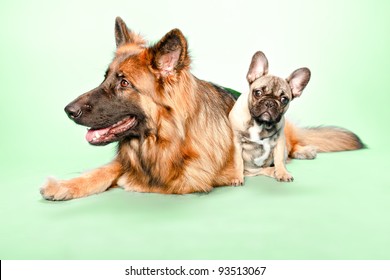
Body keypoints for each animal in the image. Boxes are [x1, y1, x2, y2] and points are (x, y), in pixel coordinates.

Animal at [39, 17, 362, 200]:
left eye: (124, 83)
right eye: (104, 77)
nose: (68, 110)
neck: (163, 140)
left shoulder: (190, 180)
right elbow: (103, 172)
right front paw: (64, 185)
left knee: (292, 144)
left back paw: (304, 151)